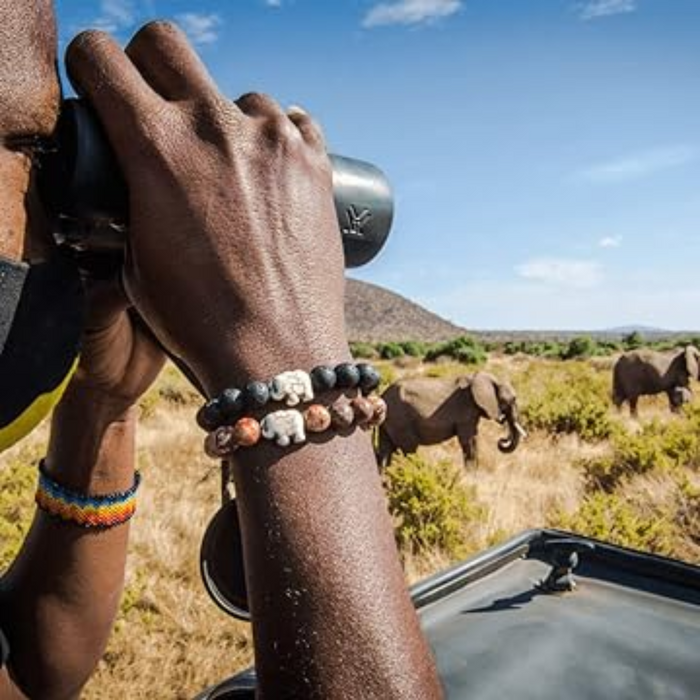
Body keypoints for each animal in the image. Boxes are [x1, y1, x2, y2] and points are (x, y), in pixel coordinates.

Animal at [378, 370, 524, 468]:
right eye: (513, 400)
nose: (501, 441)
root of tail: (382, 396)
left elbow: (474, 439)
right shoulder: (466, 412)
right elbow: (468, 440)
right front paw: (471, 475)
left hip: (388, 421)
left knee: (385, 450)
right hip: (400, 421)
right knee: (409, 450)